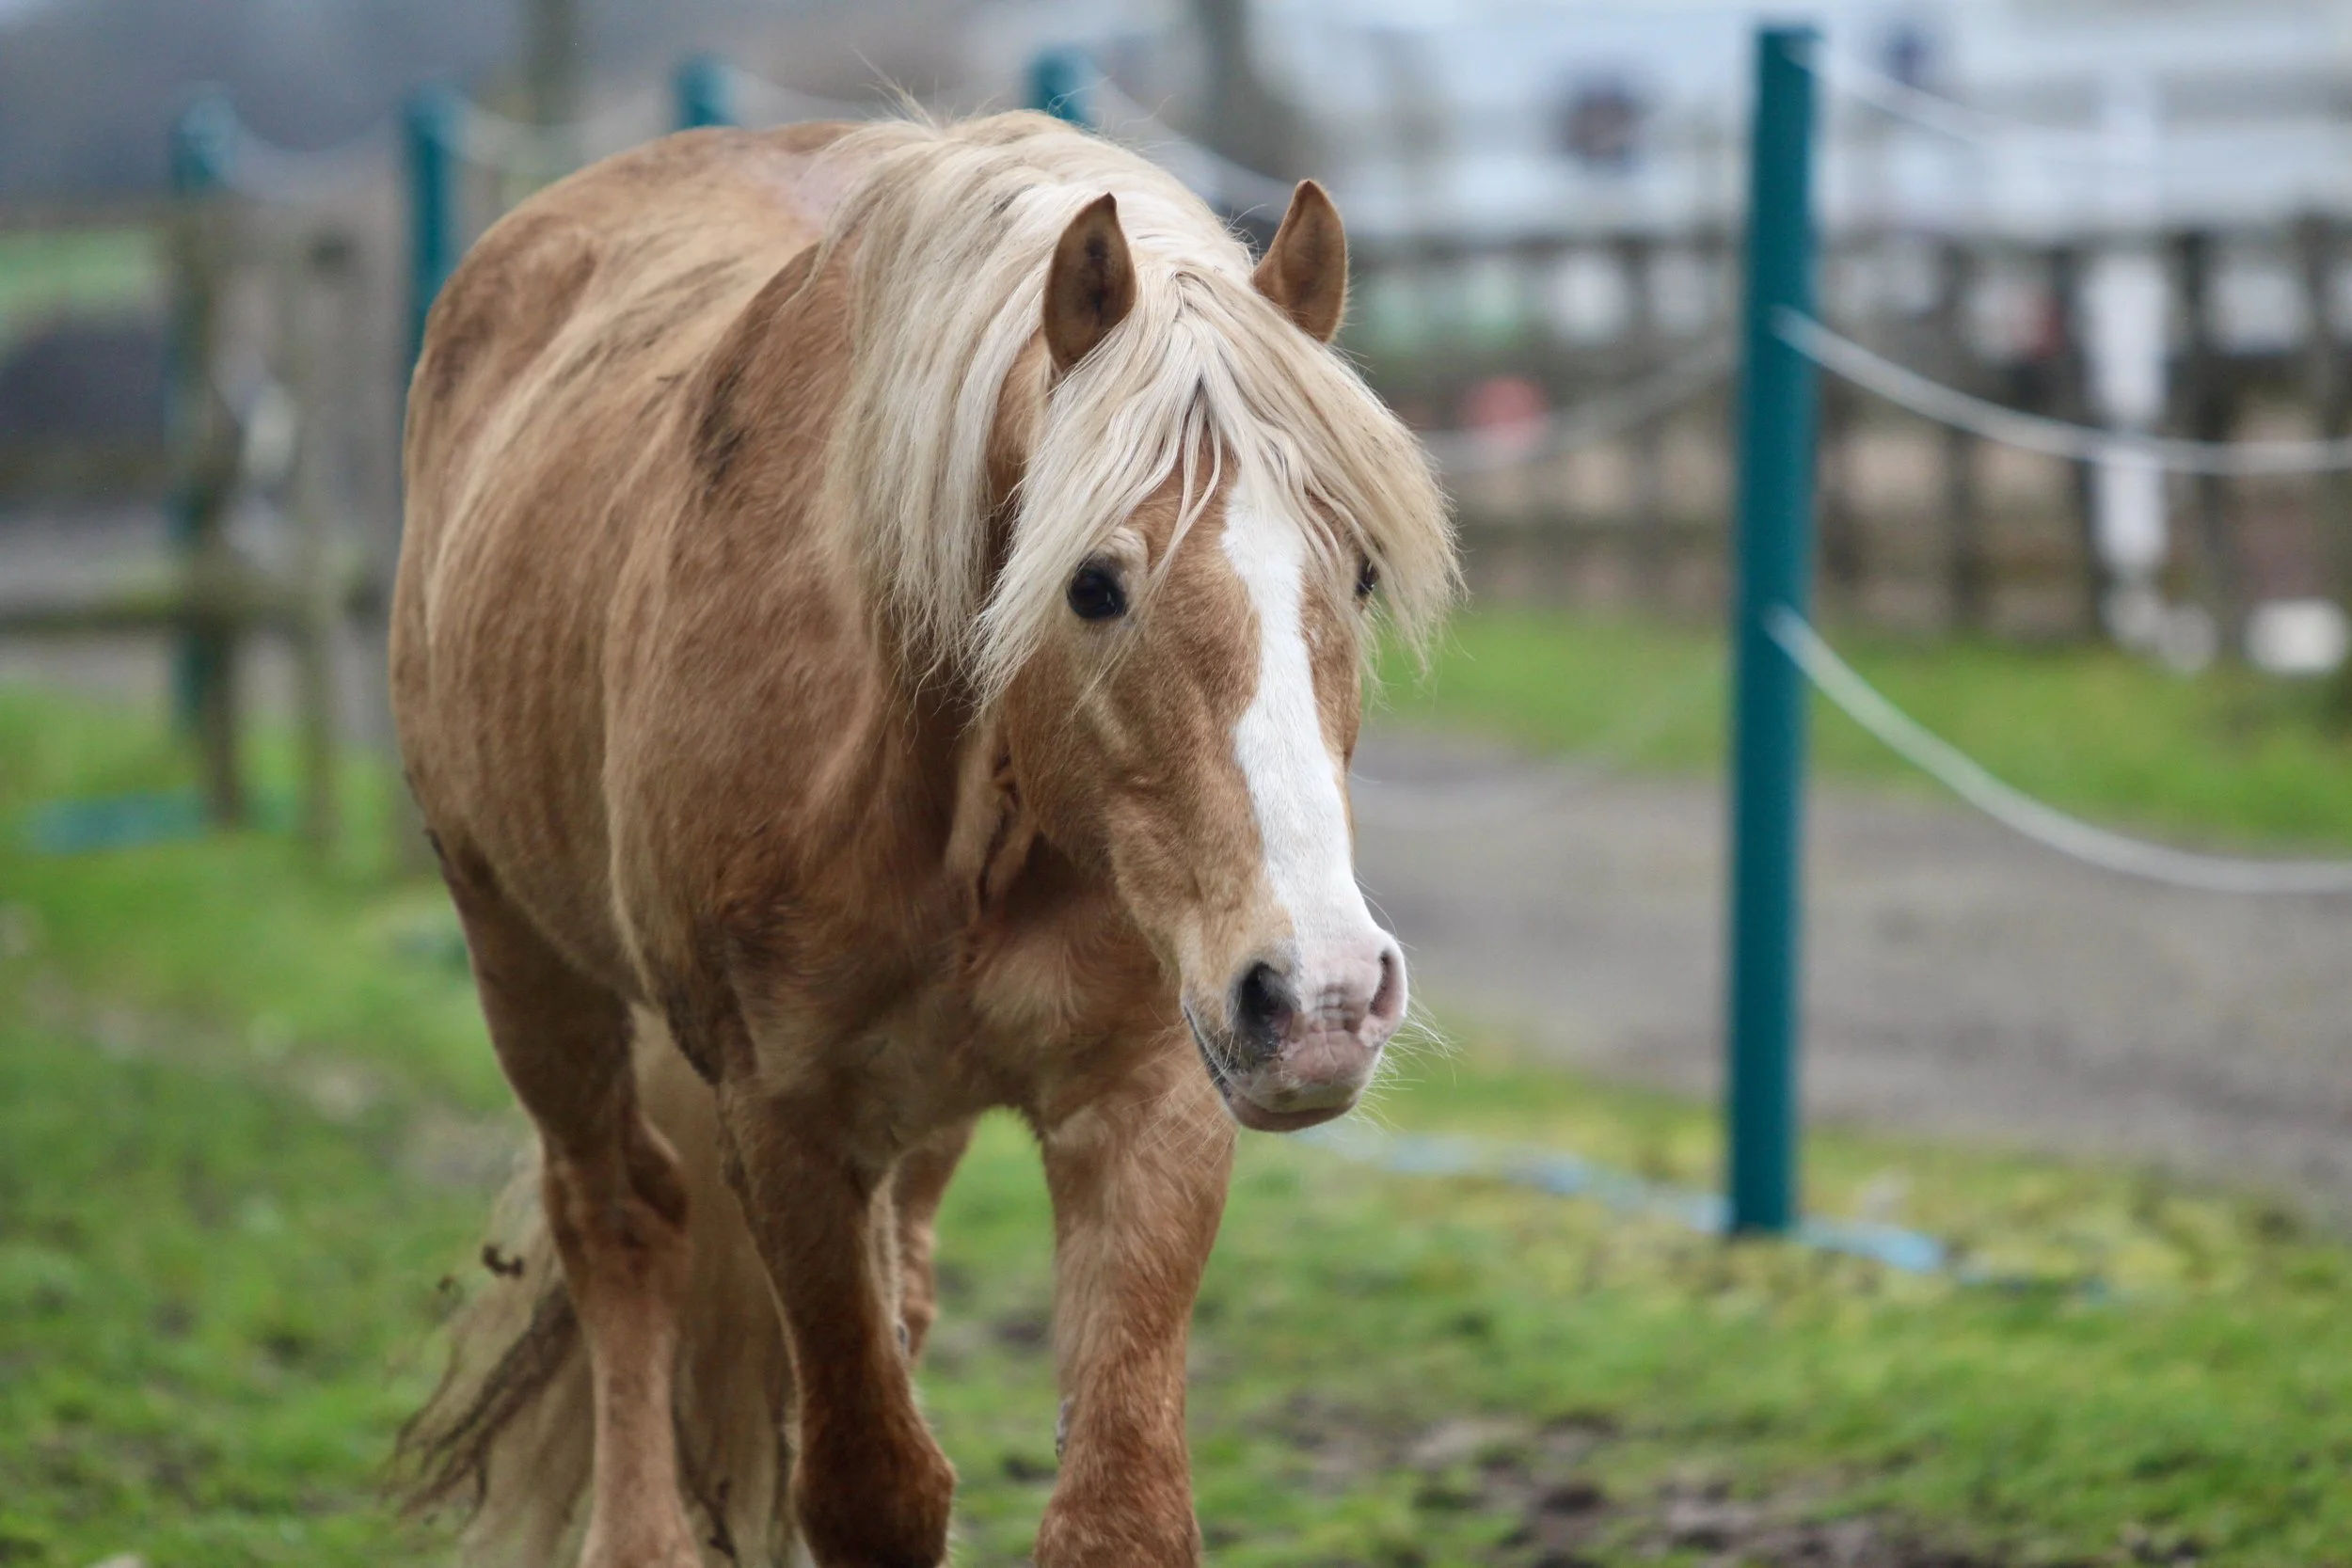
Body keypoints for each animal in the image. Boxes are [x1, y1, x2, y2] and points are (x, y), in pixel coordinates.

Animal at [389, 111, 1455, 1567]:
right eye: (1093, 583)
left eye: (1356, 572)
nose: (1323, 999)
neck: (973, 814)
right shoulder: (783, 1124)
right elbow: (871, 1484)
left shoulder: (1150, 1105)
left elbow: (1117, 1508)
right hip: (524, 962)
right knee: (619, 1223)